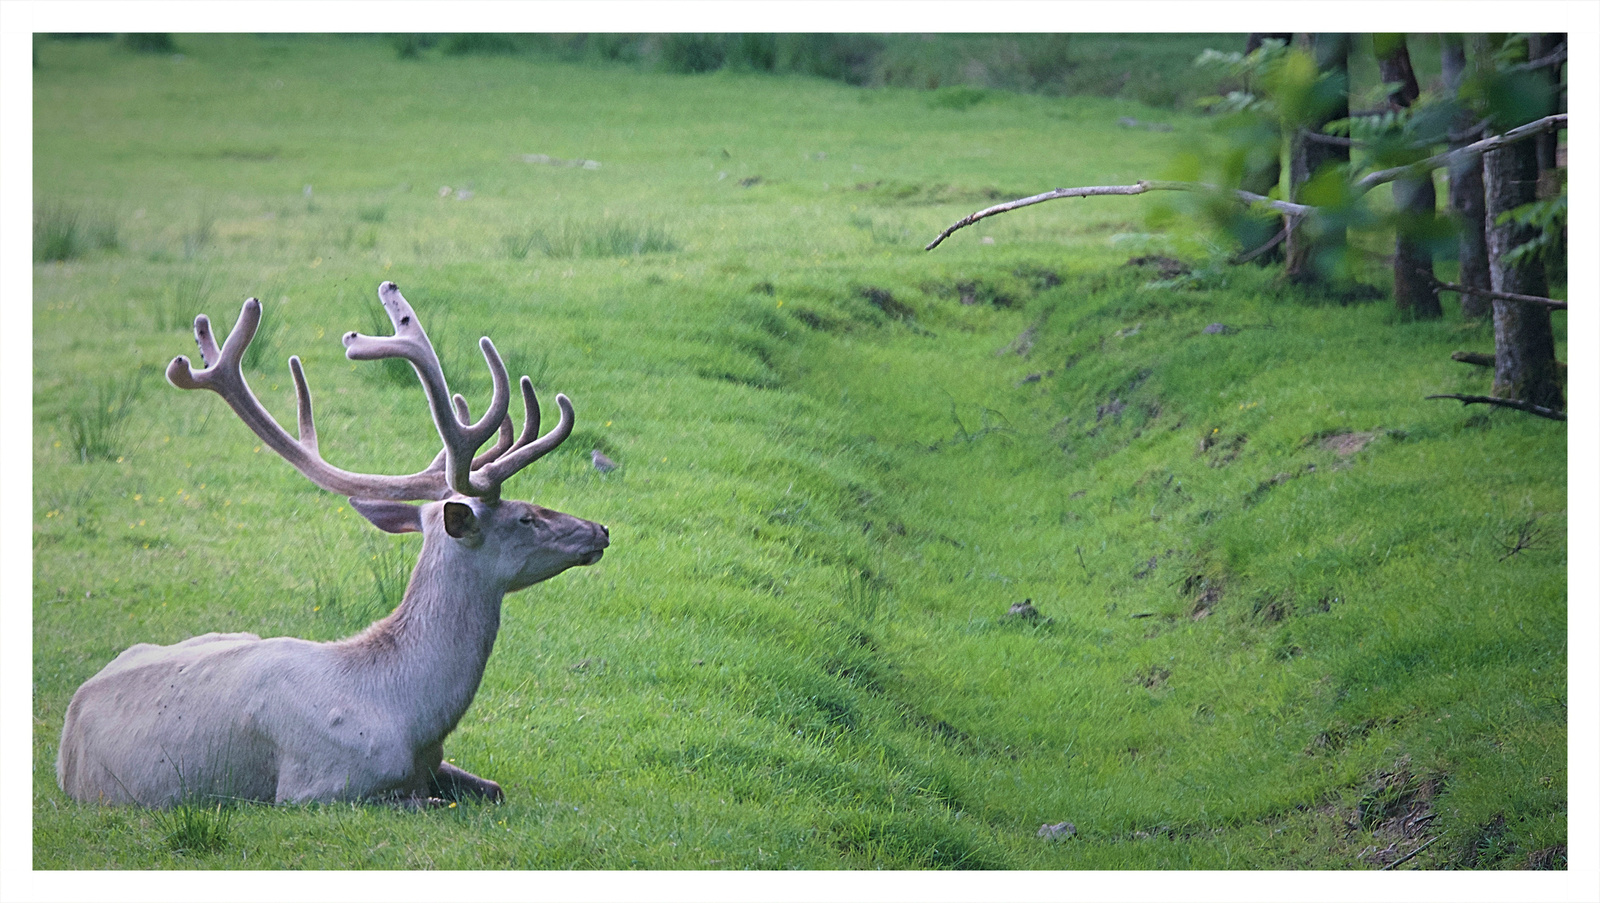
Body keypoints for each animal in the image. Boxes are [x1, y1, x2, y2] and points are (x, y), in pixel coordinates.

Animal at [56, 280, 604, 803]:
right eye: (525, 517)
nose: (600, 529)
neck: (410, 718)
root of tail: (70, 721)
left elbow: (494, 790)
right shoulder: (317, 787)